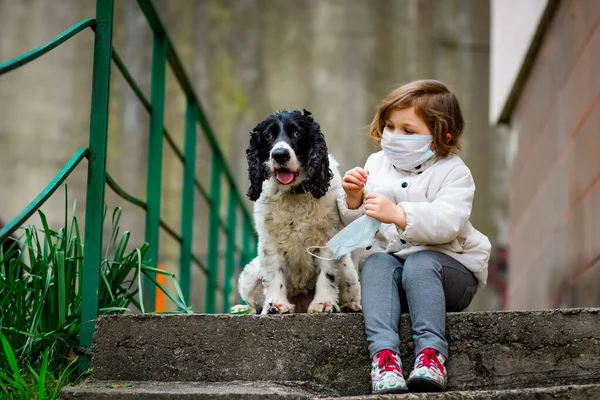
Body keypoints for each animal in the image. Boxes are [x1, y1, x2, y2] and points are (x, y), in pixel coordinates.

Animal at [236, 108, 360, 312]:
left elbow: (327, 274)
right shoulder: (269, 239)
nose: (280, 154)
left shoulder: (328, 237)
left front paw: (323, 303)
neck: (294, 193)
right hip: (250, 275)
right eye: (268, 136)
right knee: (252, 300)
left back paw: (351, 305)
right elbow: (274, 273)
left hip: (348, 271)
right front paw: (276, 304)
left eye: (297, 133)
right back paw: (243, 309)